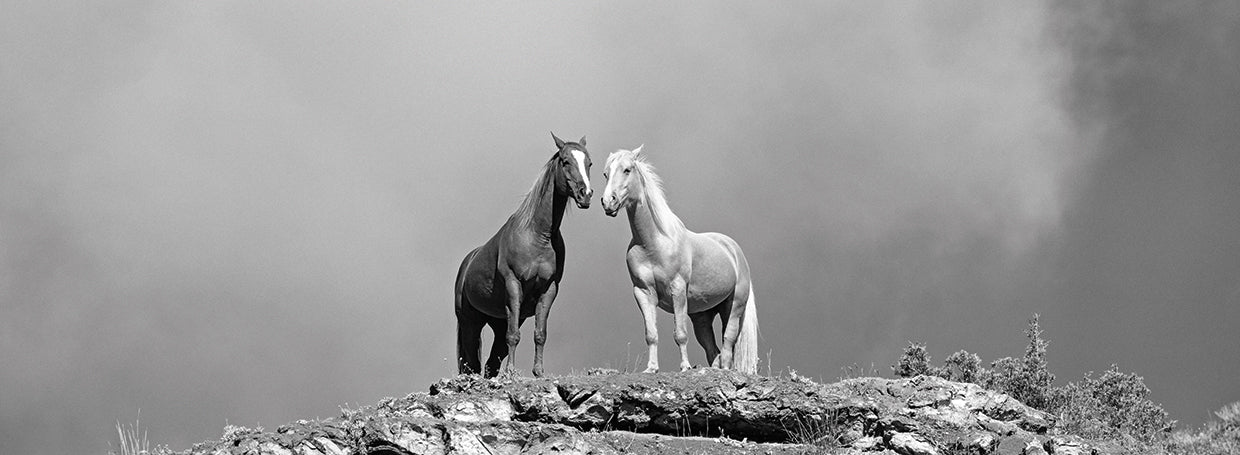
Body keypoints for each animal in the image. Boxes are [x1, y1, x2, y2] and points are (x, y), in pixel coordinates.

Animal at [454, 132, 593, 378]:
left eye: (589, 163)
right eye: (565, 161)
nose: (585, 195)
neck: (538, 236)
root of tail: (466, 263)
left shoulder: (549, 289)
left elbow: (540, 334)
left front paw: (538, 372)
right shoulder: (513, 284)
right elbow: (514, 337)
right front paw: (511, 373)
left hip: (499, 320)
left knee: (491, 361)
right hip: (471, 321)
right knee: (472, 362)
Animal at [599, 145, 759, 374]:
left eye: (627, 169)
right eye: (605, 173)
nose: (608, 202)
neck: (653, 243)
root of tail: (734, 251)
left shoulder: (677, 289)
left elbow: (680, 334)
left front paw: (684, 367)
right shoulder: (643, 292)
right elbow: (651, 334)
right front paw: (651, 369)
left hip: (734, 306)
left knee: (728, 343)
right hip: (702, 315)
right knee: (713, 350)